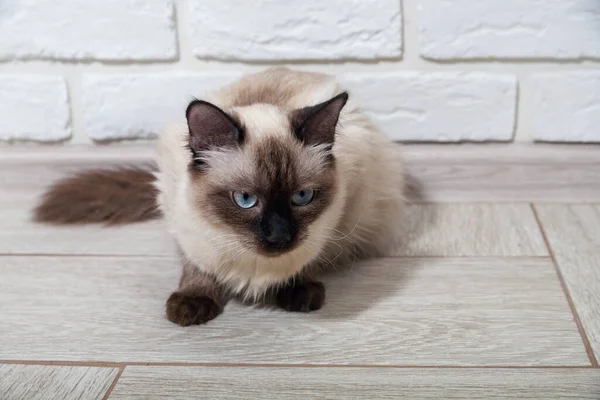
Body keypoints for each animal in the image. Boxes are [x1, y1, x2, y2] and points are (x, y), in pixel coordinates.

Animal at [35, 67, 406, 326]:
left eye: (302, 196)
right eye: (244, 199)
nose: (280, 236)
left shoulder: (339, 212)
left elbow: (308, 258)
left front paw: (297, 290)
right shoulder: (184, 224)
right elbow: (197, 268)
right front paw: (192, 305)